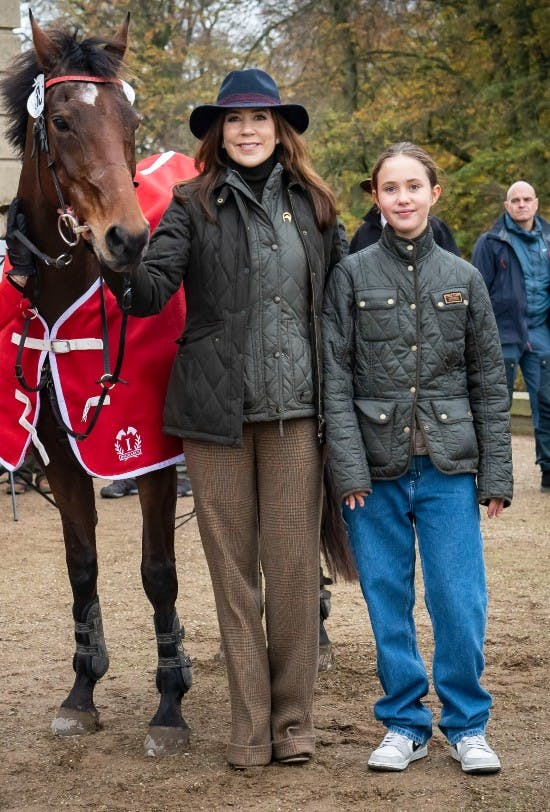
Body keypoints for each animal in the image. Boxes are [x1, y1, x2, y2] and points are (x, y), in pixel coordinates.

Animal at [0, 12, 194, 760]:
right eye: (61, 120)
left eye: (129, 119)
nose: (128, 240)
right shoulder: (59, 451)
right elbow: (81, 564)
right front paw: (83, 689)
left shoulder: (153, 454)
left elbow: (158, 571)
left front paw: (170, 702)